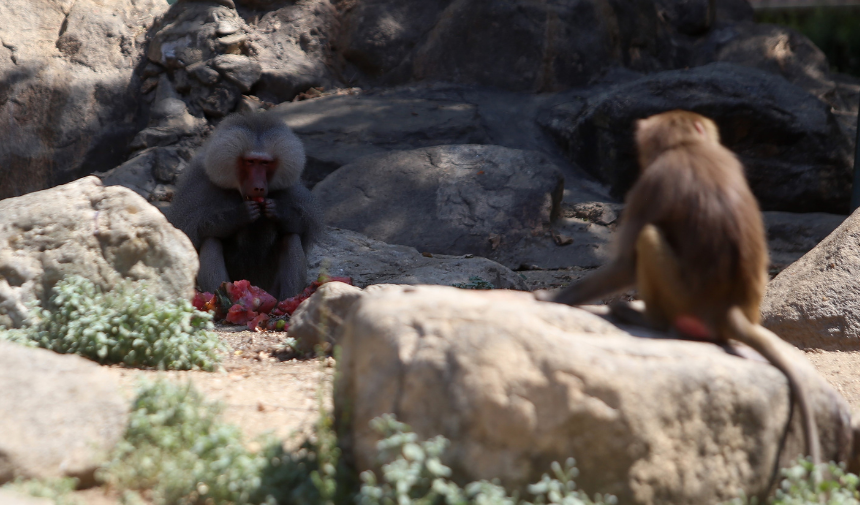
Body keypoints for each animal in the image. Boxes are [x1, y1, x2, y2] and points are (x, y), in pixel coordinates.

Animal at [165, 110, 322, 300]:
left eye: (265, 163)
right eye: (250, 161)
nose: (259, 187)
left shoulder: (290, 189)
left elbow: (303, 227)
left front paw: (278, 211)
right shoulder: (197, 184)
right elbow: (189, 234)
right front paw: (240, 215)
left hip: (270, 289)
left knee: (291, 237)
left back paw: (287, 300)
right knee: (211, 241)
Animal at [536, 110, 820, 464]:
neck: (688, 147)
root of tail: (726, 311)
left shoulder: (651, 183)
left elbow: (626, 263)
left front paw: (551, 297)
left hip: (681, 300)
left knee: (648, 237)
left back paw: (644, 319)